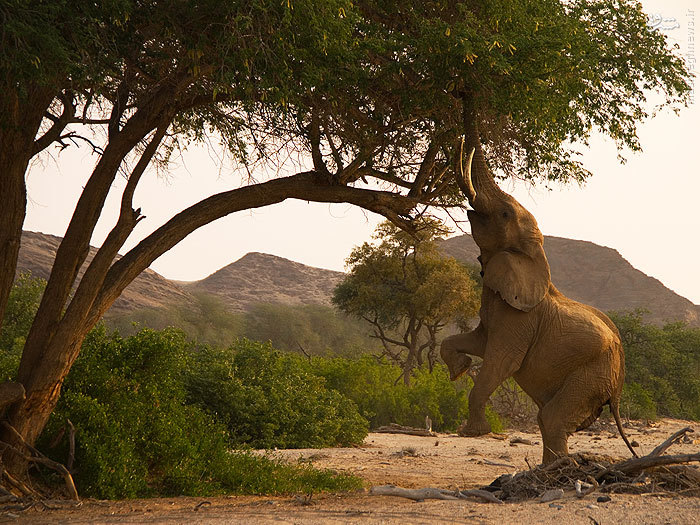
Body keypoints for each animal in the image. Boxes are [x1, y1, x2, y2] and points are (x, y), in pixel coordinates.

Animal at [442, 111, 640, 462]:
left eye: (504, 214)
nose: (464, 101)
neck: (535, 255)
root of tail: (618, 390)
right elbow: (476, 343)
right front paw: (459, 369)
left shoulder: (521, 319)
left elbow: (502, 361)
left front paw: (474, 433)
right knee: (547, 418)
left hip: (593, 373)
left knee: (552, 417)